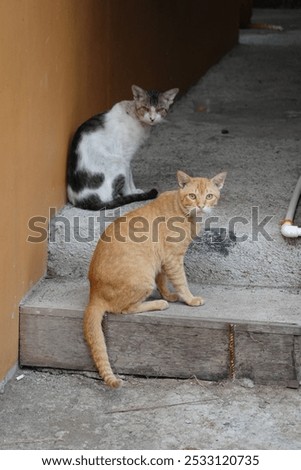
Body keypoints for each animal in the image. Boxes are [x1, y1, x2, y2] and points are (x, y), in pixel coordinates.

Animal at [82, 171, 225, 388]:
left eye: (209, 196)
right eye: (192, 196)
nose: (200, 205)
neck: (186, 212)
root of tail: (94, 292)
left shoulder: (163, 260)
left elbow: (163, 280)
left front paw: (169, 295)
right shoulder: (173, 258)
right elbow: (181, 282)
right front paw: (189, 299)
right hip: (143, 279)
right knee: (123, 309)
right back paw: (159, 303)